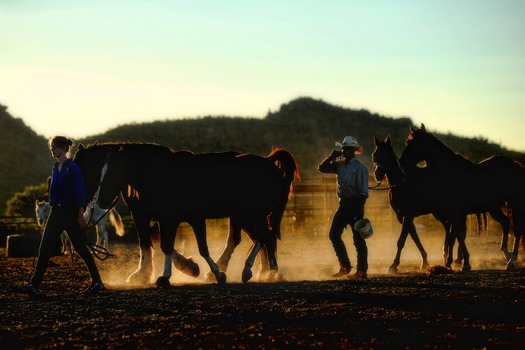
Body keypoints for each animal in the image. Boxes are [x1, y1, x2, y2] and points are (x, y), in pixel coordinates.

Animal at [400, 126, 520, 270]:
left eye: (410, 142)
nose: (401, 163)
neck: (448, 171)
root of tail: (516, 165)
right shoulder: (452, 214)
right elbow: (455, 236)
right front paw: (450, 262)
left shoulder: (455, 213)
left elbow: (458, 236)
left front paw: (465, 263)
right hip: (494, 208)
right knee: (506, 222)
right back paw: (507, 256)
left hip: (515, 203)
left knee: (517, 229)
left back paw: (512, 260)